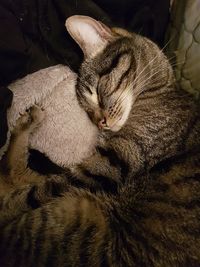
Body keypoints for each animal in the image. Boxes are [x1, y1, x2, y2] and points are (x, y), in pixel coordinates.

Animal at [0, 15, 200, 266]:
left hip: (70, 216)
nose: (100, 123)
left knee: (14, 175)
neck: (161, 90)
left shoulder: (111, 163)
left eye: (95, 91)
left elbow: (30, 194)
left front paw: (5, 208)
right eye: (87, 110)